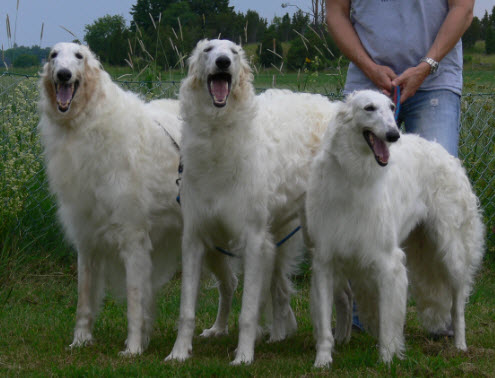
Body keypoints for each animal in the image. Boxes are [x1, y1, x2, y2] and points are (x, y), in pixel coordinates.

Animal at [37, 42, 183, 356]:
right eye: (53, 56)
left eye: (79, 56)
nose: (64, 75)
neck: (86, 123)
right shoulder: (86, 239)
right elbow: (84, 301)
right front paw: (80, 341)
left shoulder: (133, 238)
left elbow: (135, 301)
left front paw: (134, 348)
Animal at [165, 37, 340, 364]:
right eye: (208, 50)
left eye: (233, 52)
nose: (223, 62)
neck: (219, 135)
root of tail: (331, 104)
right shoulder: (195, 238)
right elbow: (186, 311)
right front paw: (179, 353)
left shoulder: (254, 239)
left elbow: (247, 313)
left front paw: (243, 357)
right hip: (274, 239)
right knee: (278, 290)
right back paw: (276, 335)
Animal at [306, 90, 484, 368]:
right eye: (369, 108)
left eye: (391, 107)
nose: (393, 135)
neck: (354, 176)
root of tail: (441, 150)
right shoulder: (325, 259)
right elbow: (324, 323)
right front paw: (323, 361)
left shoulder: (387, 260)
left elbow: (389, 320)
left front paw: (387, 359)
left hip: (453, 254)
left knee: (458, 305)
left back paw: (460, 345)